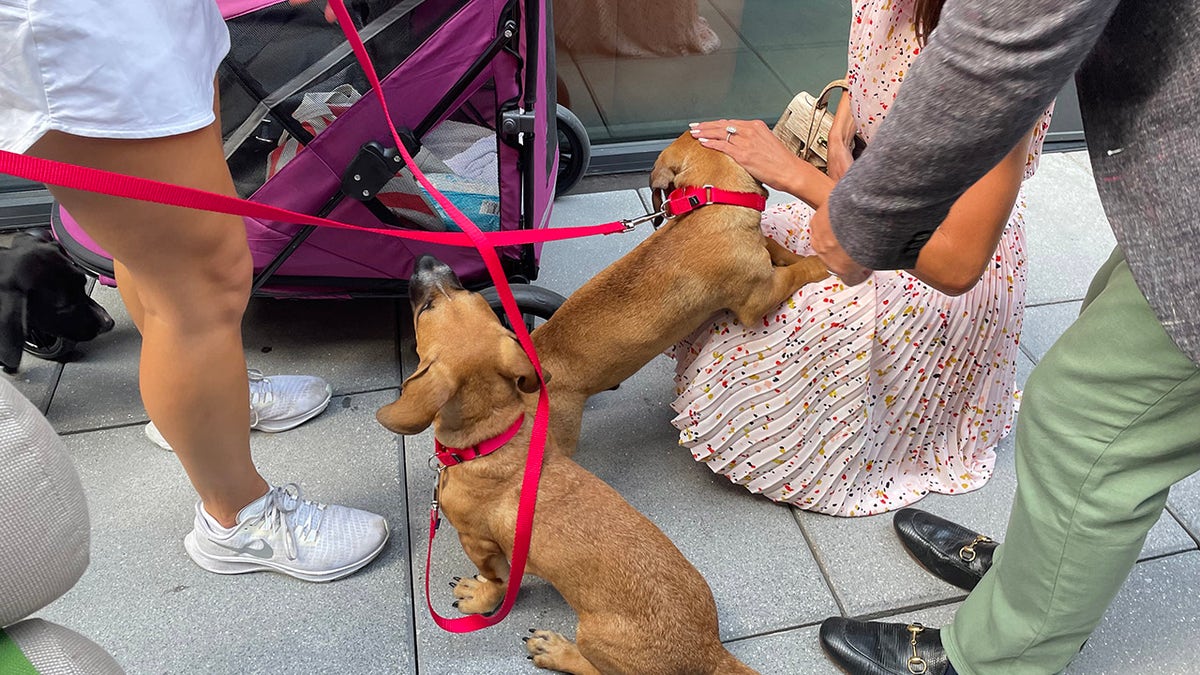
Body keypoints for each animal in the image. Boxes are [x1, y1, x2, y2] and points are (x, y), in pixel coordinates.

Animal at [379, 253, 758, 672]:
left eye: (426, 309)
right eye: (470, 294)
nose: (428, 259)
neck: (493, 439)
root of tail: (710, 651)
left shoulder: (478, 541)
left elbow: (497, 580)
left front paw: (480, 597)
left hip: (592, 634)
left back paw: (556, 649)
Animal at [530, 132, 830, 454]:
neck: (710, 204)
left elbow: (774, 247)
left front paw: (794, 254)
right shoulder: (760, 297)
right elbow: (796, 272)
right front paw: (819, 262)